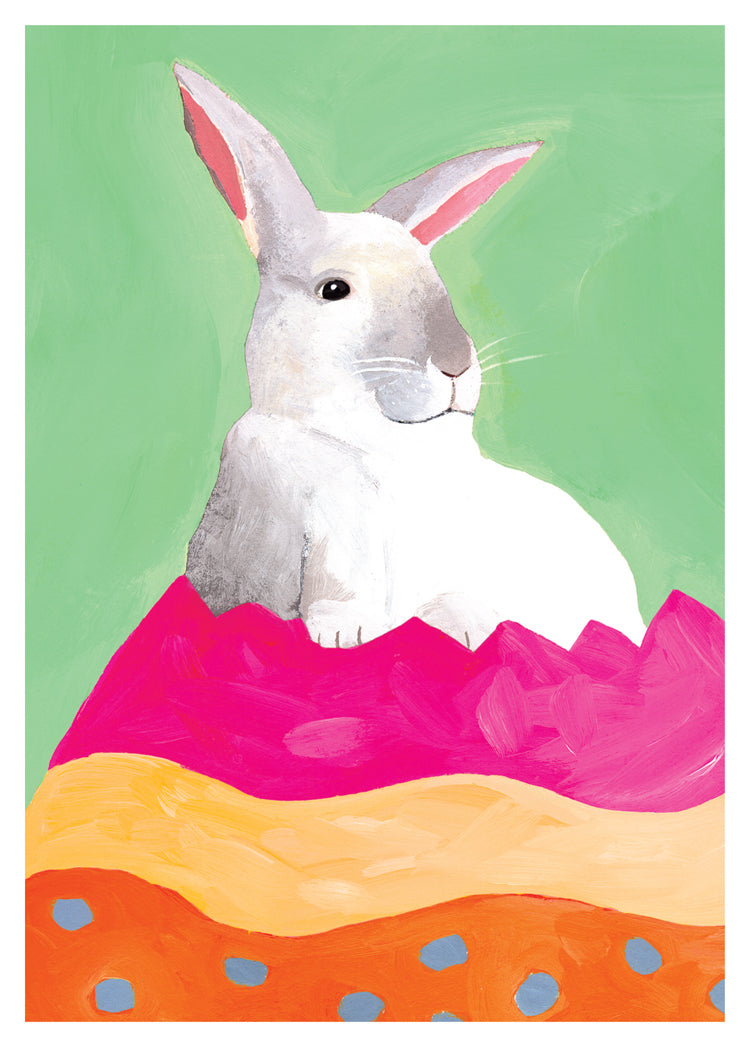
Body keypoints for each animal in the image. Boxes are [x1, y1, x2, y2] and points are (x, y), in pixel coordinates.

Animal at [174, 63, 645, 650]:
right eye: (334, 290)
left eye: (434, 279)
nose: (455, 363)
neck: (371, 443)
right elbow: (329, 591)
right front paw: (345, 633)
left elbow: (454, 596)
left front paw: (467, 628)